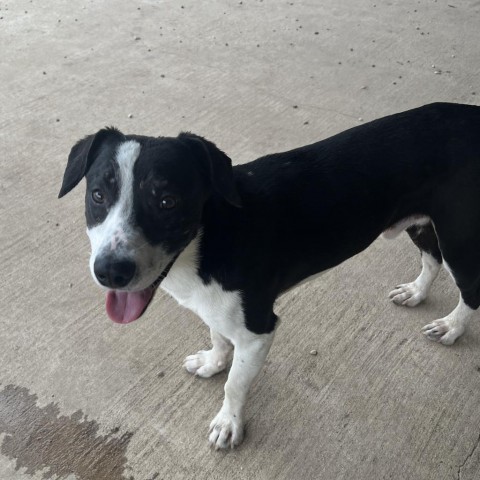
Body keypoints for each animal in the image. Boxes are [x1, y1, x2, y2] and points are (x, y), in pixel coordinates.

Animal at [59, 102, 480, 450]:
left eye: (167, 202)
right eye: (97, 195)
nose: (111, 271)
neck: (209, 237)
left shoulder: (257, 330)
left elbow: (235, 384)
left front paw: (228, 424)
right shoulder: (217, 309)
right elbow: (218, 337)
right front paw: (213, 361)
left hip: (460, 236)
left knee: (469, 288)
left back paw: (452, 327)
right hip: (422, 222)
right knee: (431, 258)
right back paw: (417, 292)